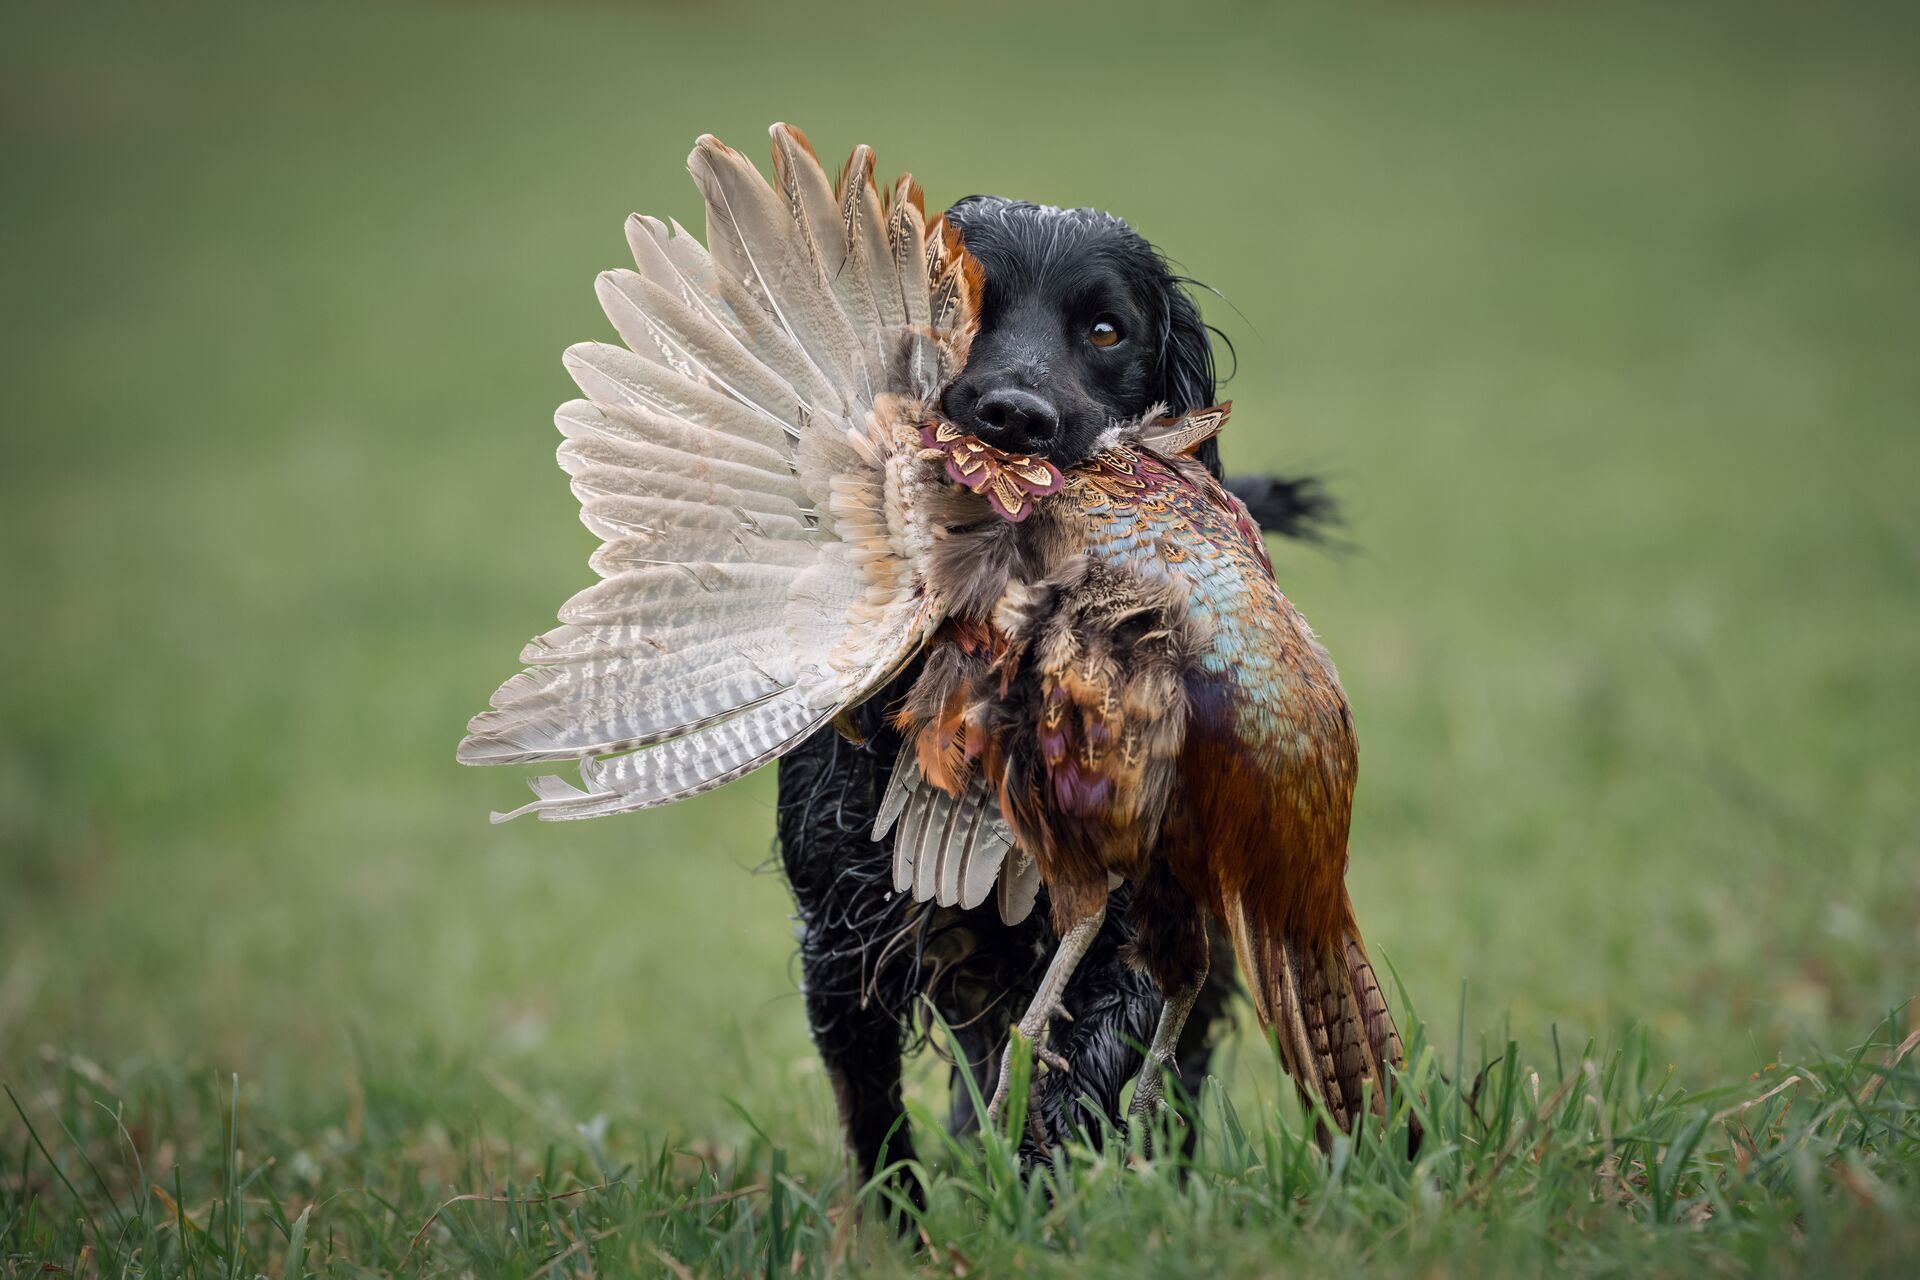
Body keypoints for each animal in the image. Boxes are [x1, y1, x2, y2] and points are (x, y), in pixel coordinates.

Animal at [768, 195, 1336, 1189]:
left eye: (1107, 330)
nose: (1013, 417)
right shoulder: (840, 940)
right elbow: (880, 1139)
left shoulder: (1143, 925)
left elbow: (1085, 1074)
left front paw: (1051, 1183)